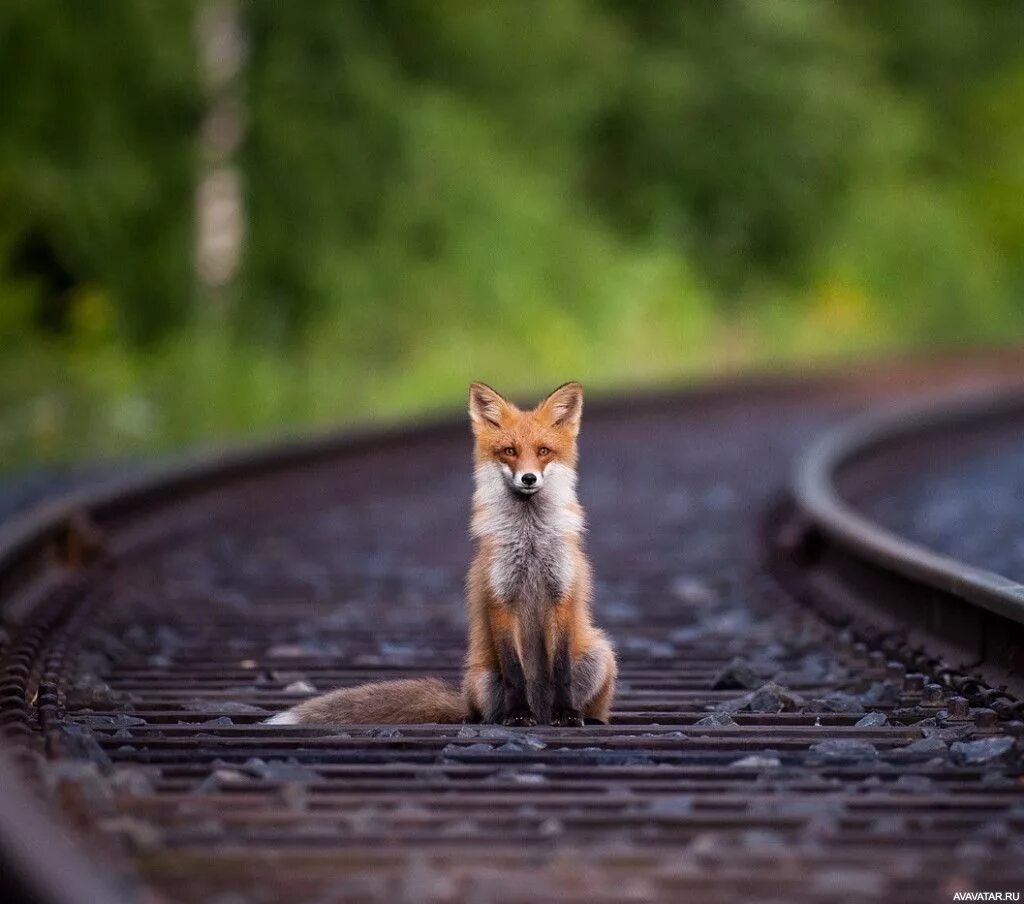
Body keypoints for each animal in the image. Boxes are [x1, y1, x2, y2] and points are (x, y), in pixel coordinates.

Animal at [266, 380, 614, 728]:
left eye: (543, 451)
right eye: (509, 451)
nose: (529, 478)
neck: (530, 541)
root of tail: (540, 710)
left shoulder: (562, 595)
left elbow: (562, 671)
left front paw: (567, 713)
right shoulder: (500, 598)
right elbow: (514, 672)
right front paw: (517, 715)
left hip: (600, 654)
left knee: (591, 701)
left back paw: (584, 716)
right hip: (483, 680)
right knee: (484, 713)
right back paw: (505, 716)